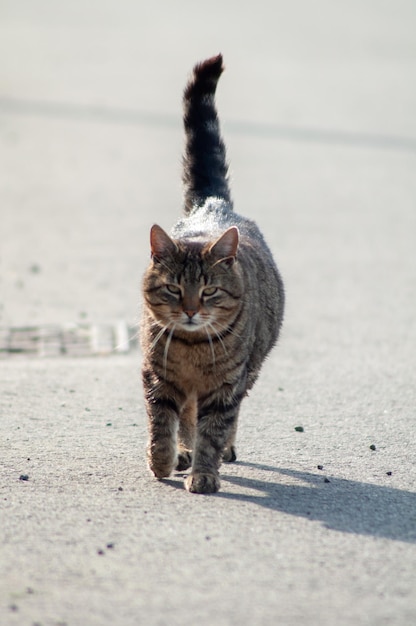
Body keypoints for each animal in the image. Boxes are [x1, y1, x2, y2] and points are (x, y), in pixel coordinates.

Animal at [141, 54, 284, 492]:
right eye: (173, 289)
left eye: (209, 292)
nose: (189, 310)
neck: (191, 349)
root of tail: (214, 204)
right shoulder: (158, 379)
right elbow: (162, 426)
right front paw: (164, 460)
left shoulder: (224, 388)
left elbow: (213, 431)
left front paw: (205, 472)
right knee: (186, 416)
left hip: (250, 369)